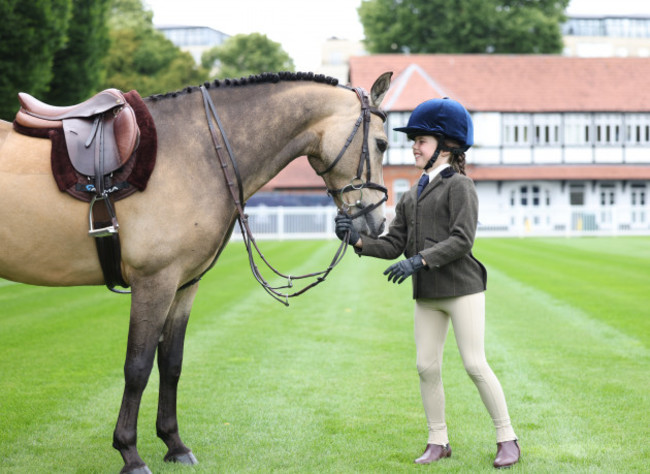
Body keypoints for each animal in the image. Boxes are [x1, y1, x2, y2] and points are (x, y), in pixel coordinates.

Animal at [0, 71, 390, 474]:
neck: (195, 151)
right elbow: (137, 367)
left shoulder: (184, 285)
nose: (377, 222)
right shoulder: (154, 282)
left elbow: (171, 363)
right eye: (381, 143)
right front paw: (129, 452)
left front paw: (173, 443)